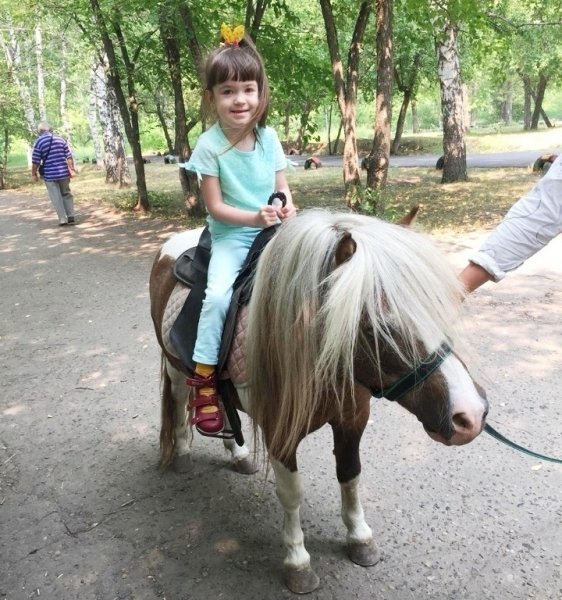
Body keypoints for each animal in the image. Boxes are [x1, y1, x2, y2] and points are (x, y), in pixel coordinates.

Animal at [149, 209, 486, 592]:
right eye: (374, 327)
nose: (469, 415)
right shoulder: (281, 435)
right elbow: (292, 493)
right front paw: (298, 561)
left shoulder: (353, 421)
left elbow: (350, 476)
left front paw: (359, 537)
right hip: (176, 370)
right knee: (180, 402)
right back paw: (183, 454)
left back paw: (239, 454)